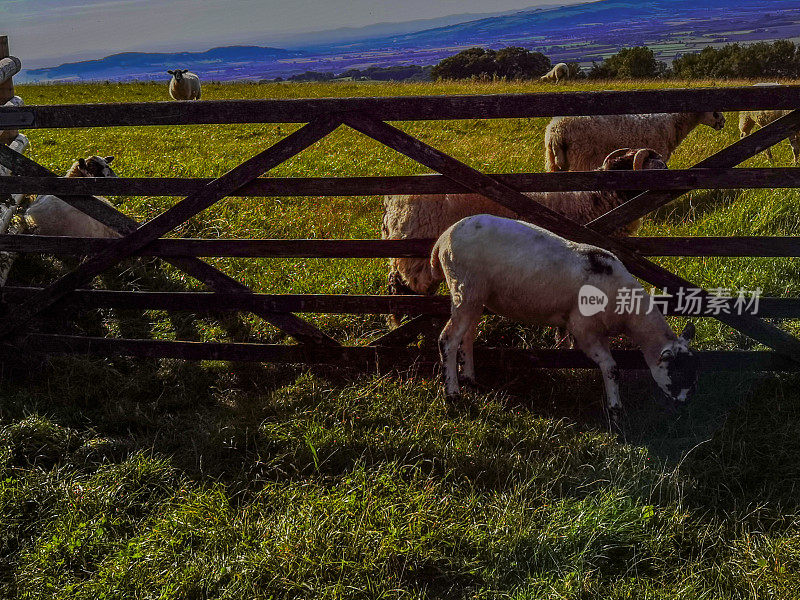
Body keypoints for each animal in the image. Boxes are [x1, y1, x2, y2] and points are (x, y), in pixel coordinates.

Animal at [432, 213, 700, 428]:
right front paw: (615, 412)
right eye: (678, 374)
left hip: (475, 295)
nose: (685, 405)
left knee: (466, 336)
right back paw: (452, 393)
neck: (628, 313)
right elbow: (612, 369)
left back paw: (469, 378)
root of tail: (443, 238)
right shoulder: (584, 329)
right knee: (448, 339)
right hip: (465, 287)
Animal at [544, 110, 724, 171]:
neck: (673, 123)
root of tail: (556, 130)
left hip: (554, 161)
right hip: (582, 158)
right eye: (714, 111)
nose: (723, 122)